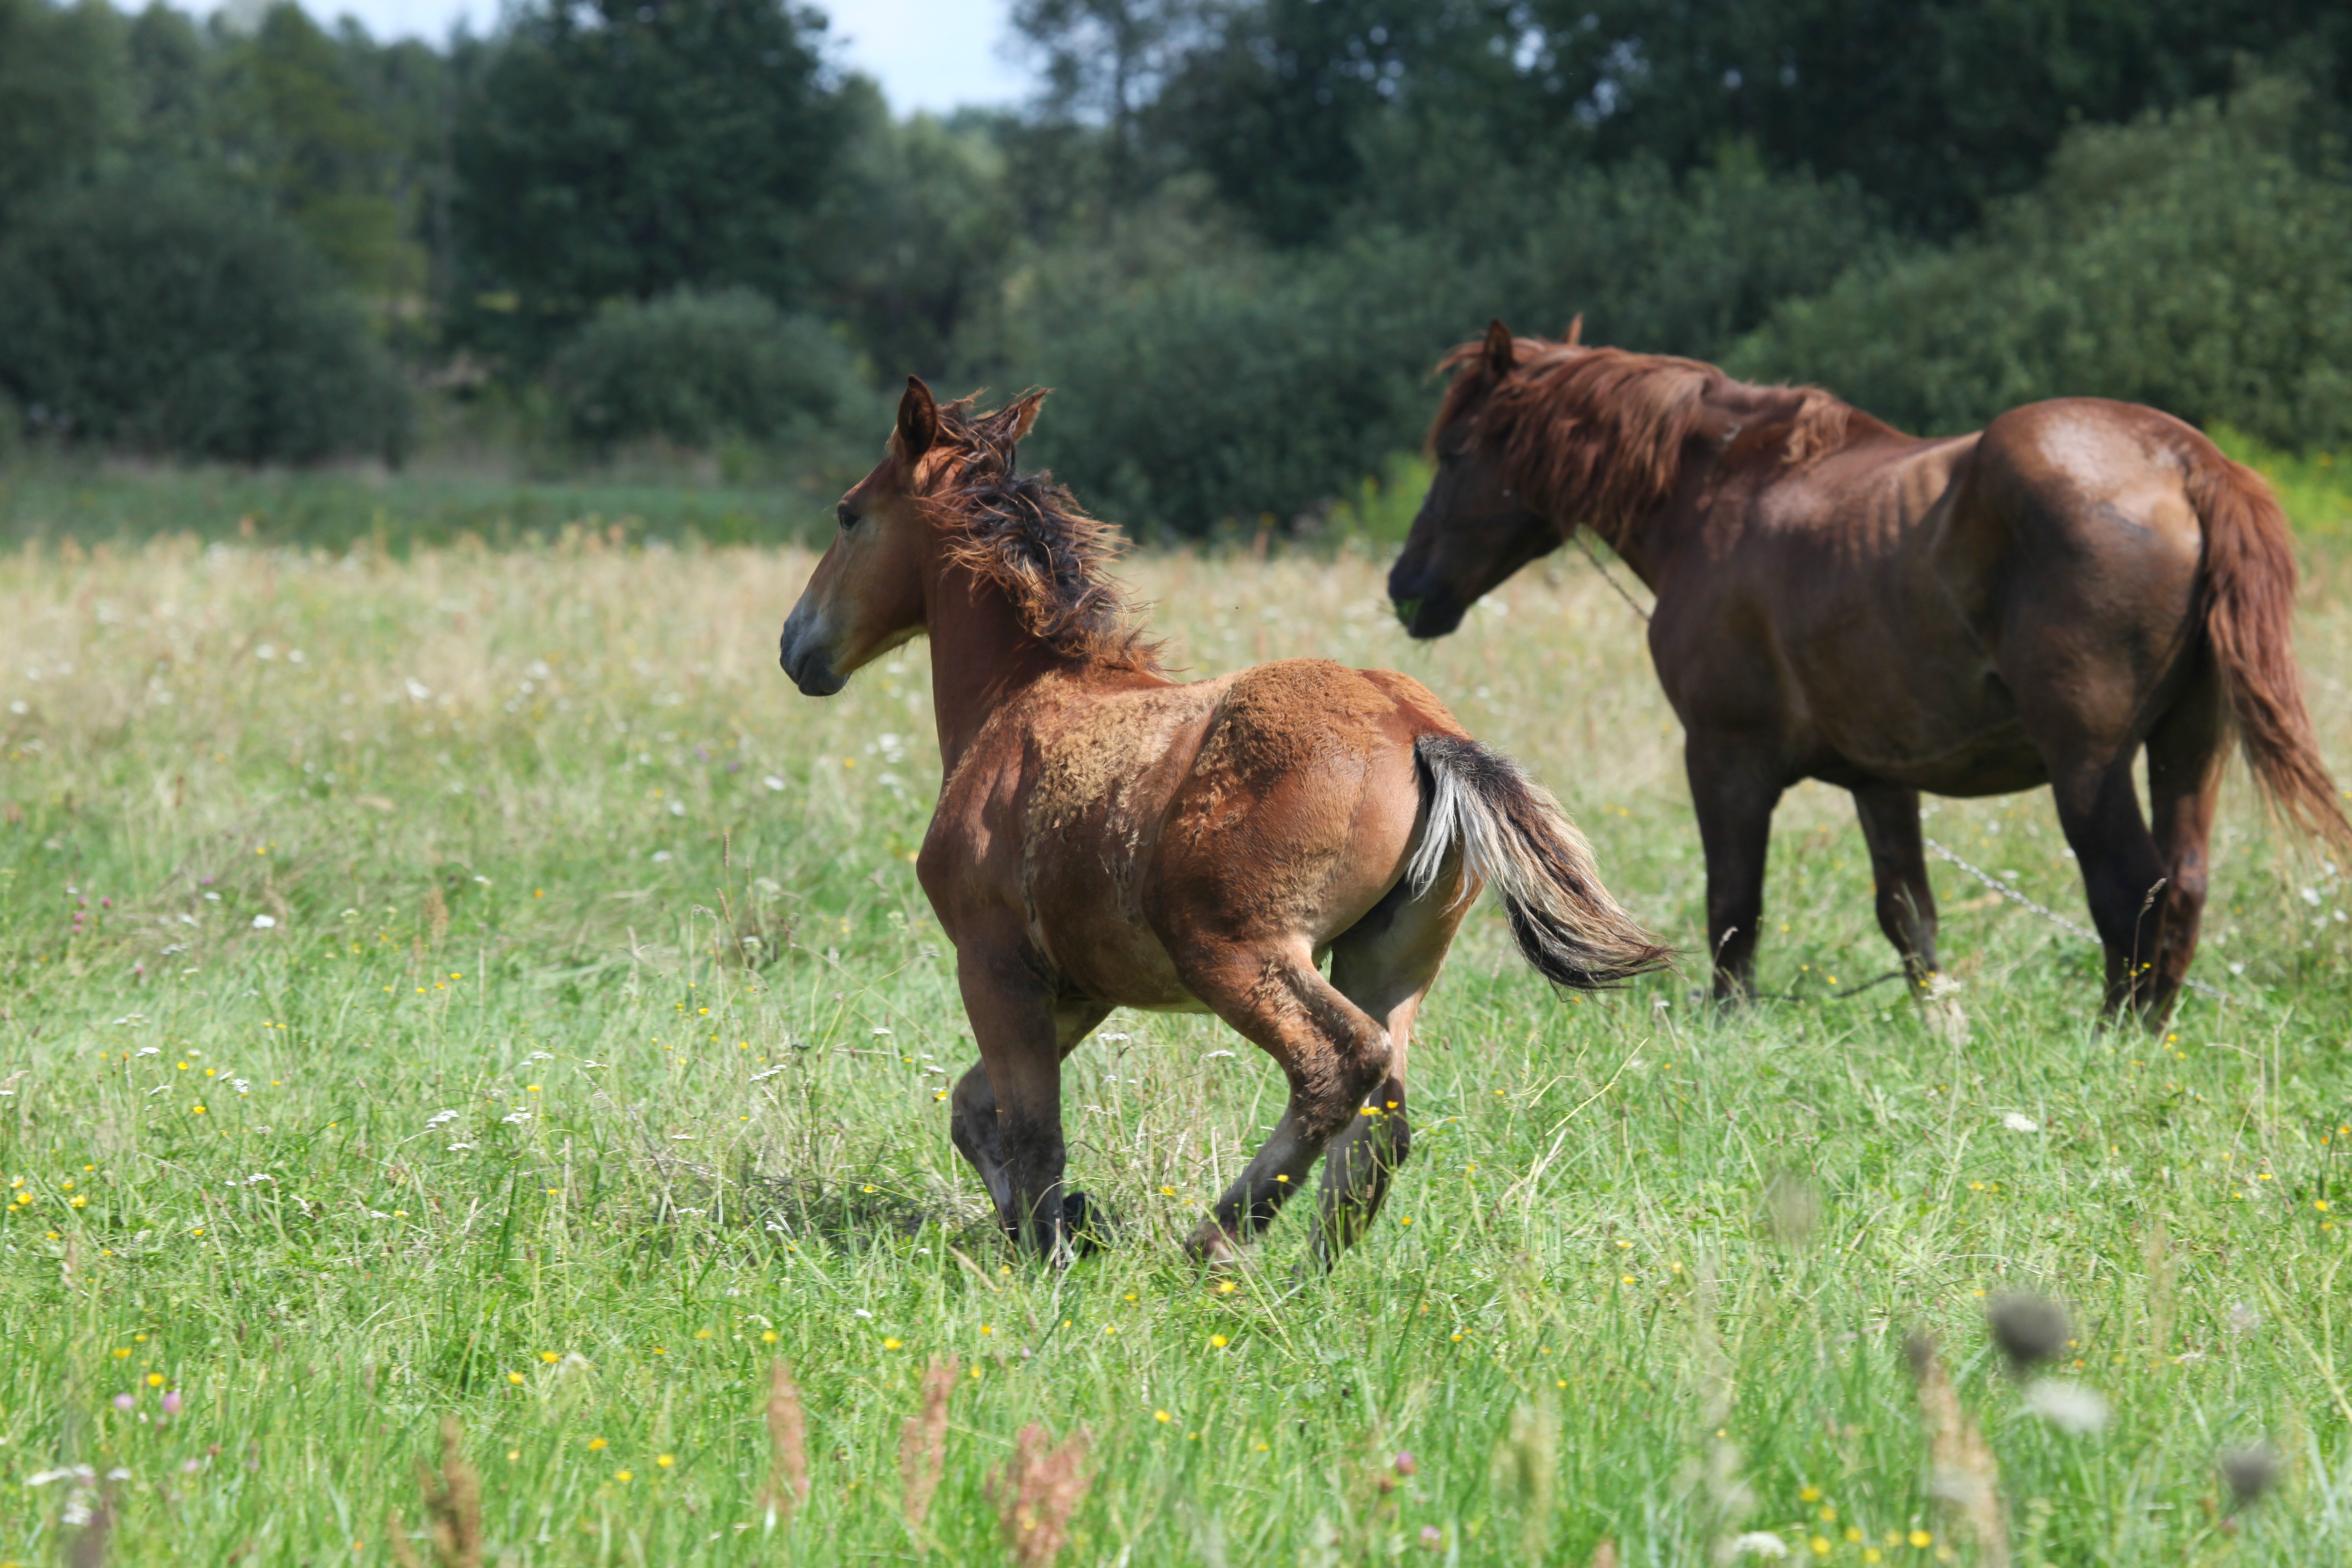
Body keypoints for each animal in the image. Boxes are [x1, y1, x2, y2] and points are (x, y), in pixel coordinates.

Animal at [781, 381, 1665, 1260]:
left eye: (848, 513)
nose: (796, 645)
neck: (1019, 698)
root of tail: (1419, 729)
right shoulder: (1079, 983)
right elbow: (974, 1110)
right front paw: (1063, 1223)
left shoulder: (995, 962)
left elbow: (1032, 1132)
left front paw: (1050, 1244)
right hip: (1390, 958)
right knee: (1383, 1119)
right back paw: (1311, 1271)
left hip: (1236, 950)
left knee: (1338, 1066)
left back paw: (1216, 1241)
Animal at [1383, 324, 2342, 1025]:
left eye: (1457, 451)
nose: (1405, 588)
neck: (1724, 496)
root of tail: (2185, 460)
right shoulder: (1884, 780)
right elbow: (1908, 914)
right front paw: (1939, 1025)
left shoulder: (1724, 759)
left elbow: (1734, 904)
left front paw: (1726, 1024)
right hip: (2190, 747)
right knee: (2184, 886)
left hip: (2089, 763)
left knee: (2130, 890)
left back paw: (2116, 1034)